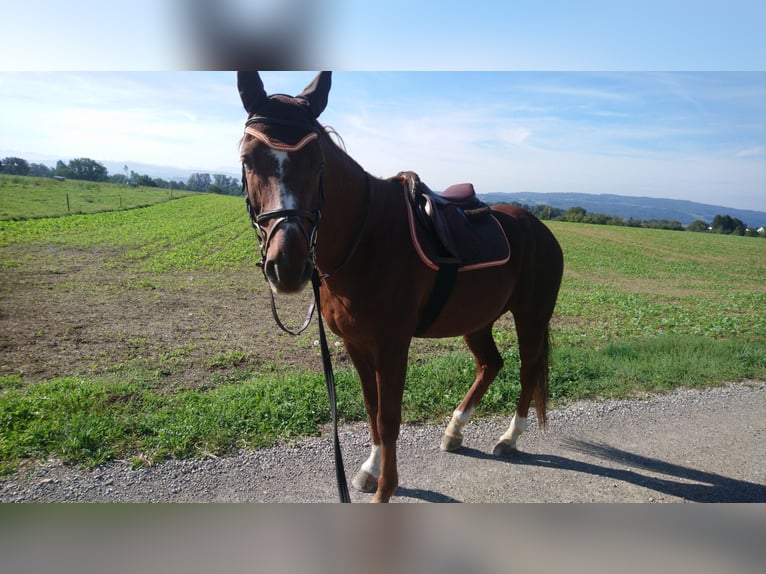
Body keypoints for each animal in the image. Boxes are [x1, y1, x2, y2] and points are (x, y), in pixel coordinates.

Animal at [238, 72, 564, 504]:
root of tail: (541, 229)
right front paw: (370, 470)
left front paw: (385, 490)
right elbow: (371, 407)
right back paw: (455, 430)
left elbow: (389, 416)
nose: (288, 266)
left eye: (318, 162)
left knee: (527, 370)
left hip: (531, 317)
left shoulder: (392, 345)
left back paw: (510, 437)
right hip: (477, 320)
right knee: (491, 364)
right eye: (248, 159)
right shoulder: (356, 343)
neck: (366, 237)